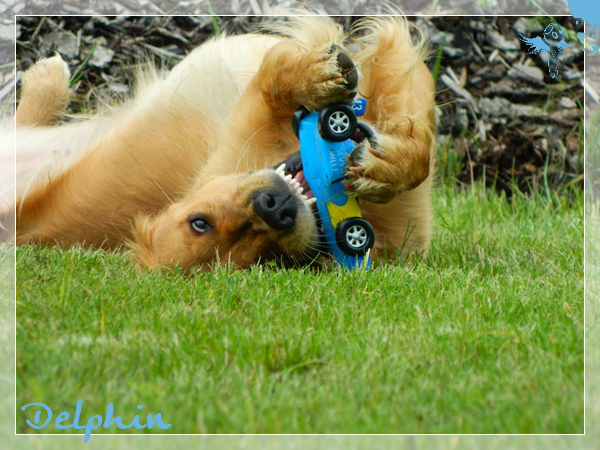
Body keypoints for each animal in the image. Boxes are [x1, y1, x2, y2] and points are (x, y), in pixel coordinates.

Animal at [9, 15, 436, 272]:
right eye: (269, 262)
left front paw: (386, 168)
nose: (274, 208)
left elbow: (420, 152)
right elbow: (271, 79)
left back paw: (47, 76)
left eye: (198, 222)